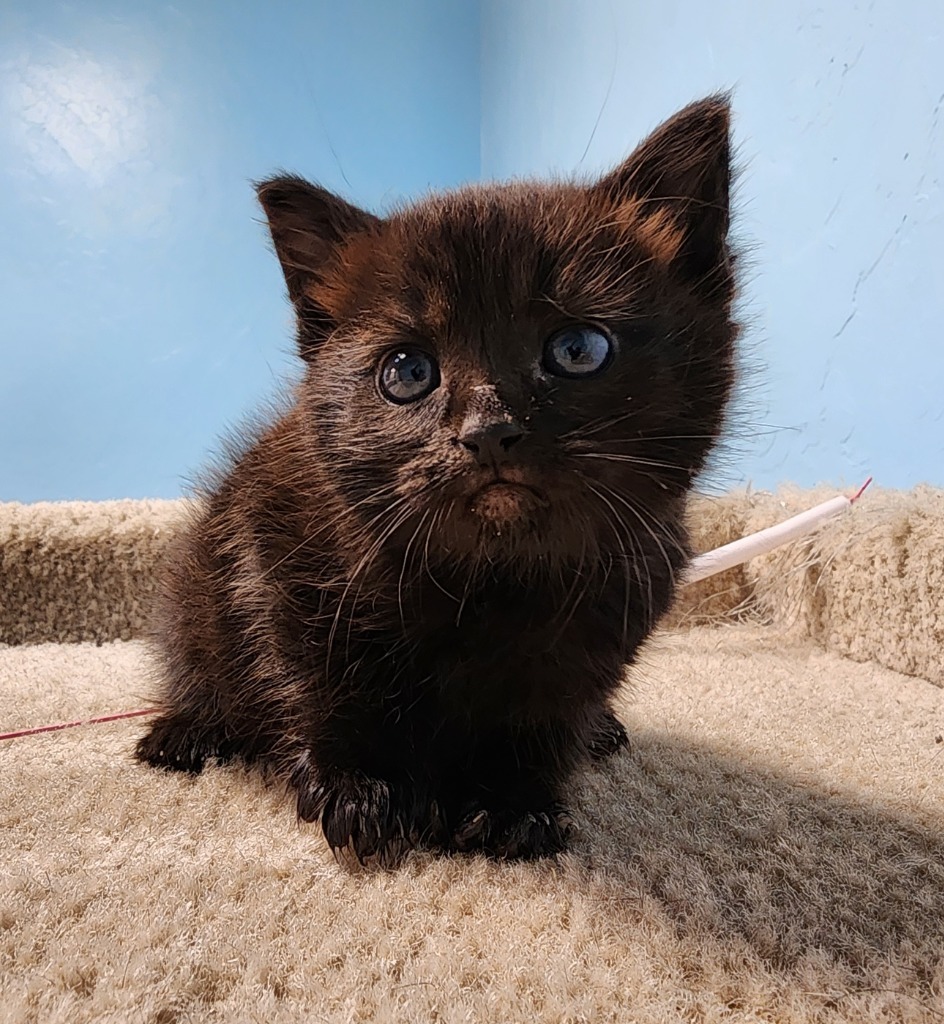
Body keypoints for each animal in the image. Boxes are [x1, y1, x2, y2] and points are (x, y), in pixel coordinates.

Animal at [136, 96, 737, 864]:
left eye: (578, 349)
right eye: (407, 371)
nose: (488, 430)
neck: (491, 577)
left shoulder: (623, 597)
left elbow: (545, 717)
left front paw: (512, 805)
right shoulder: (274, 554)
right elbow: (324, 683)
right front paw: (361, 788)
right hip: (193, 587)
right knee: (197, 661)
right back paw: (185, 729)